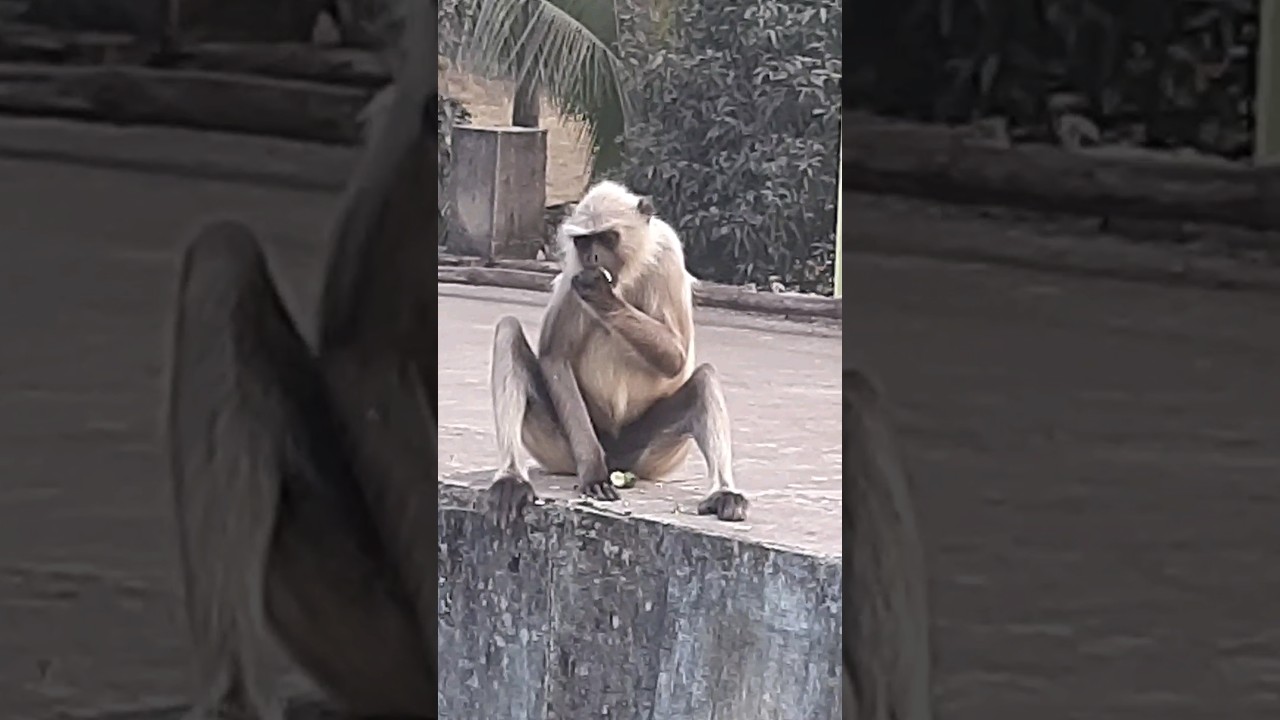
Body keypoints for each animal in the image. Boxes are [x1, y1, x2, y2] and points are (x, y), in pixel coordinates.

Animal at [485, 180, 751, 525]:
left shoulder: (668, 253)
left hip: (646, 454)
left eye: (608, 237)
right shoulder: (573, 269)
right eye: (585, 241)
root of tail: (616, 454)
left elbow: (677, 359)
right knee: (507, 330)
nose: (594, 256)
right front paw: (593, 472)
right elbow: (555, 356)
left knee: (704, 379)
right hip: (560, 449)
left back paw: (723, 494)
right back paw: (512, 479)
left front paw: (602, 296)